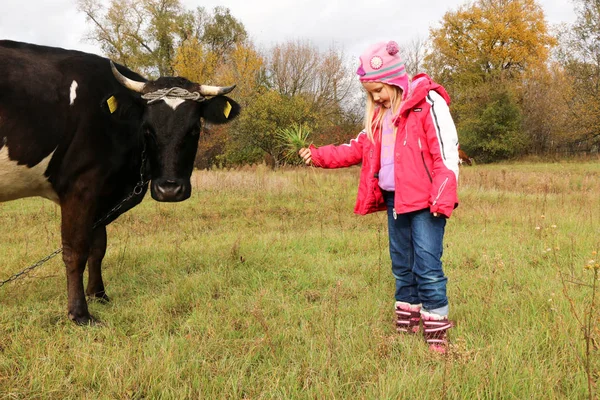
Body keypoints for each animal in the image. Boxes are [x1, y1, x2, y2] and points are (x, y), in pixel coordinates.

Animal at [0, 39, 239, 324]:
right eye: (147, 129)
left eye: (194, 129)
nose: (169, 189)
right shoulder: (80, 186)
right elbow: (75, 249)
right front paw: (79, 313)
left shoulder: (101, 194)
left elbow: (98, 247)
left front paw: (99, 294)